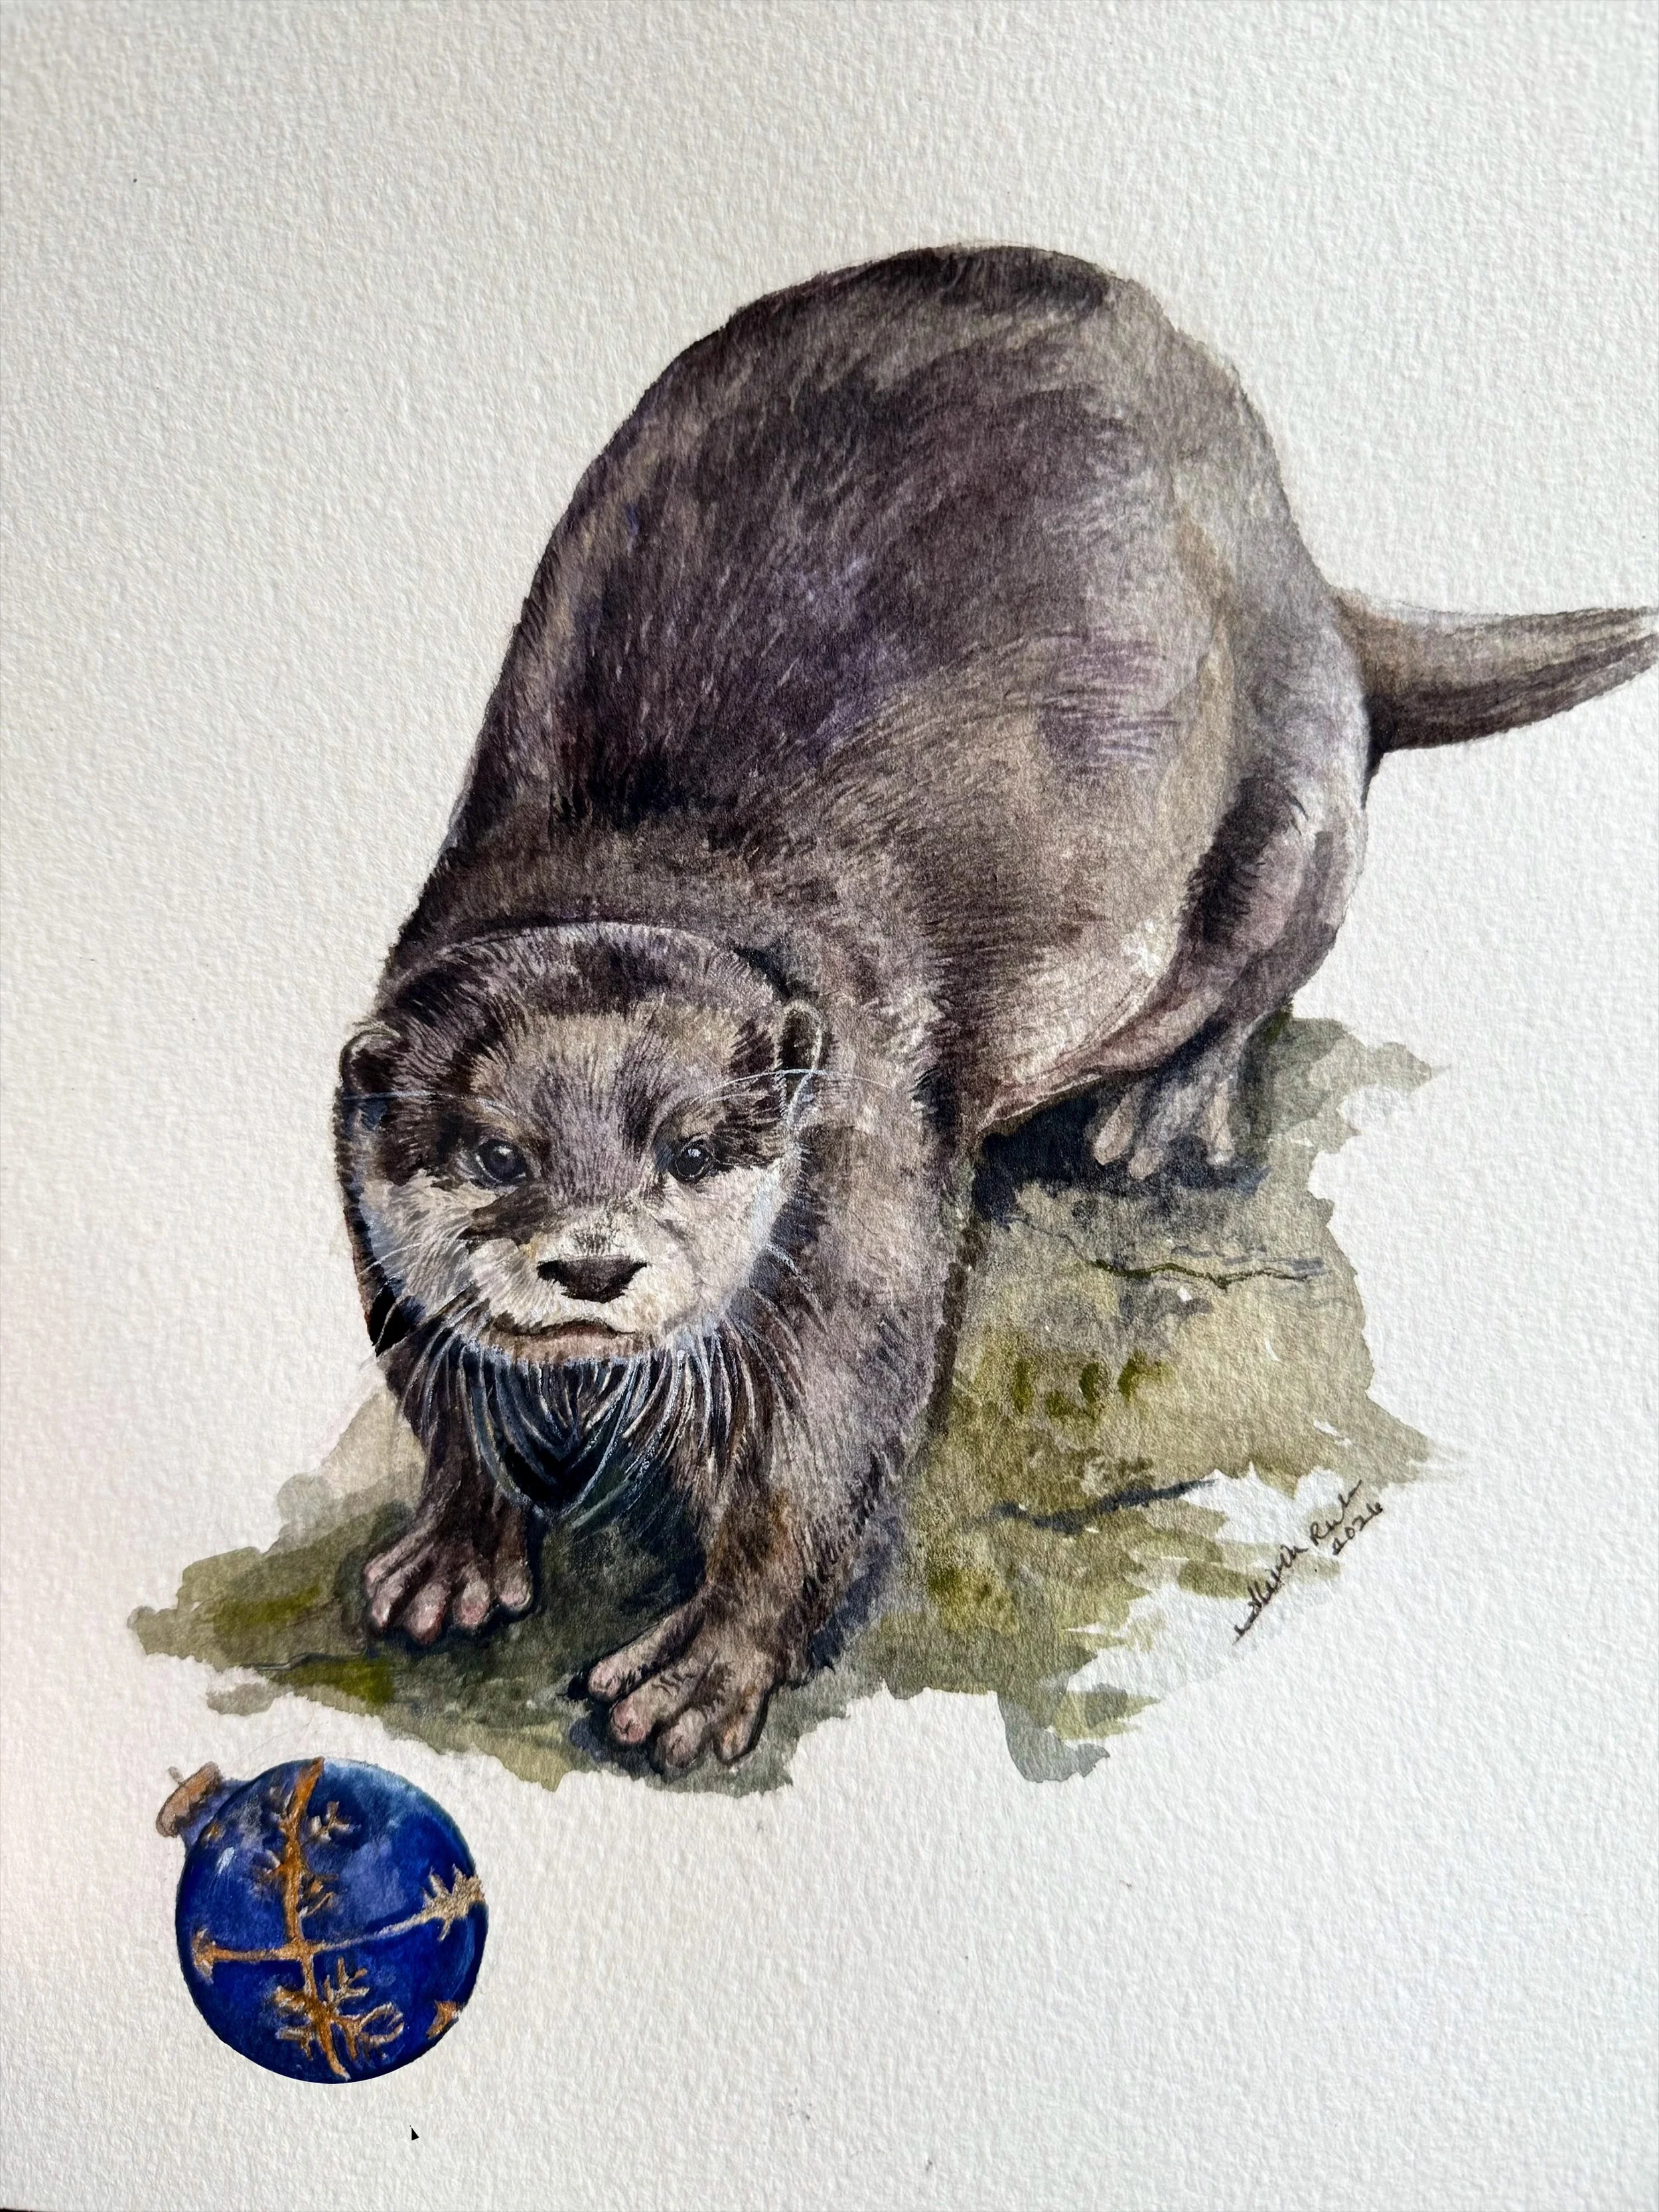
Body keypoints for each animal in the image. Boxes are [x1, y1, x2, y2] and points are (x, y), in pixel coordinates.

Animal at [336, 246, 1655, 1775]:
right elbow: (438, 1386)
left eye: (692, 1148)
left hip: (1292, 794)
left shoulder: (861, 1158)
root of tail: (1310, 575)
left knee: (1264, 970)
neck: (650, 855)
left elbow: (825, 1445)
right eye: (497, 1153)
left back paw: (1162, 1114)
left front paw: (710, 1663)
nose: (595, 1265)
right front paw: (451, 1545)